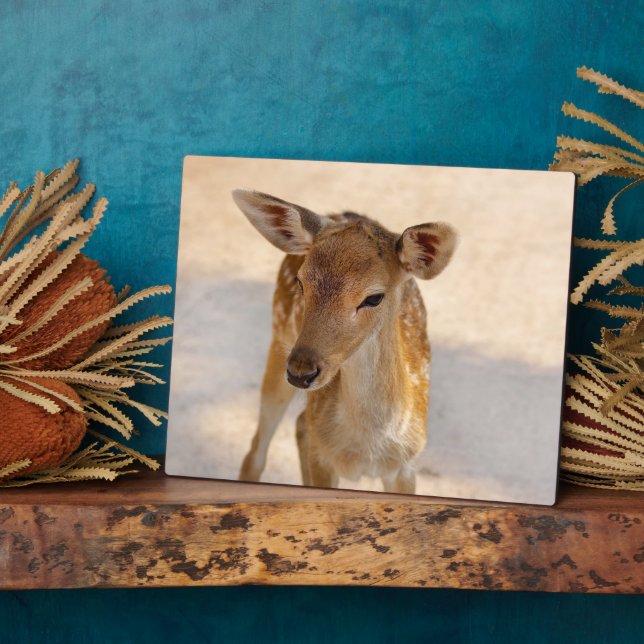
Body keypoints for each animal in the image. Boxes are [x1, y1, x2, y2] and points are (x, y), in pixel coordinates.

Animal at [232, 189, 457, 494]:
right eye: (301, 283)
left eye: (374, 297)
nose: (301, 371)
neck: (366, 448)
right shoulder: (323, 459)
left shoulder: (406, 466)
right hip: (279, 338)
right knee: (257, 450)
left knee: (300, 425)